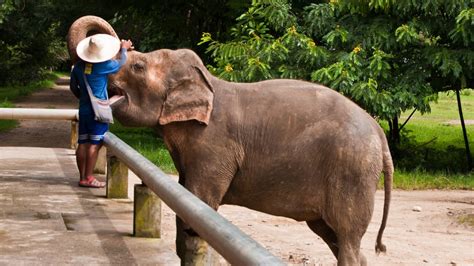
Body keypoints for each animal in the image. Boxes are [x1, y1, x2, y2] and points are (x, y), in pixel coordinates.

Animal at [67, 15, 392, 264]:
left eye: (137, 67)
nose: (122, 44)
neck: (208, 82)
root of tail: (380, 133)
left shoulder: (214, 144)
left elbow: (201, 201)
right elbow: (187, 197)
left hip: (352, 173)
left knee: (347, 237)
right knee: (333, 236)